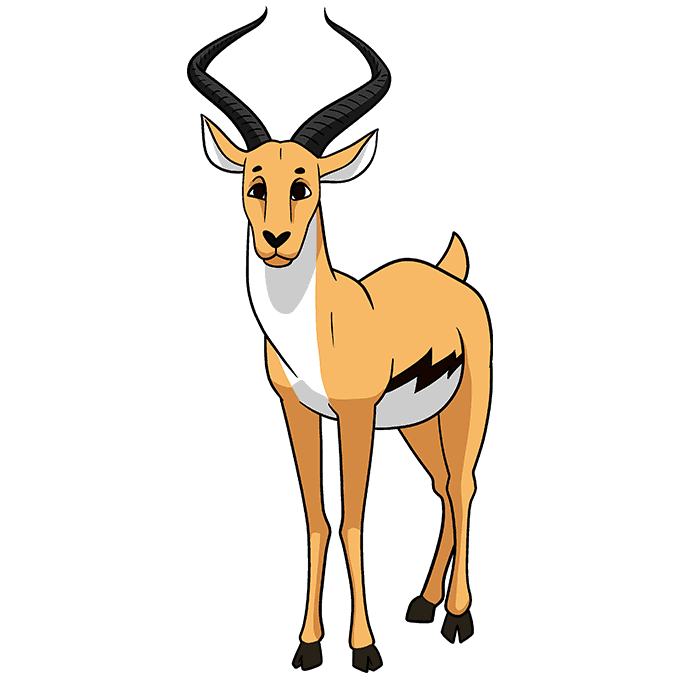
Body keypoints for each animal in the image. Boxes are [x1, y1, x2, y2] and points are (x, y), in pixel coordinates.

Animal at [190, 20, 490, 670]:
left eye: (306, 186)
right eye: (255, 184)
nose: (276, 239)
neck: (319, 328)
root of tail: (449, 275)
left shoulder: (354, 417)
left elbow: (353, 519)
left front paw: (363, 646)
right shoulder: (298, 412)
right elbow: (317, 520)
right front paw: (308, 644)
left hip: (466, 406)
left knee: (464, 485)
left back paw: (457, 616)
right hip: (414, 424)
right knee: (441, 489)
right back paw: (424, 603)